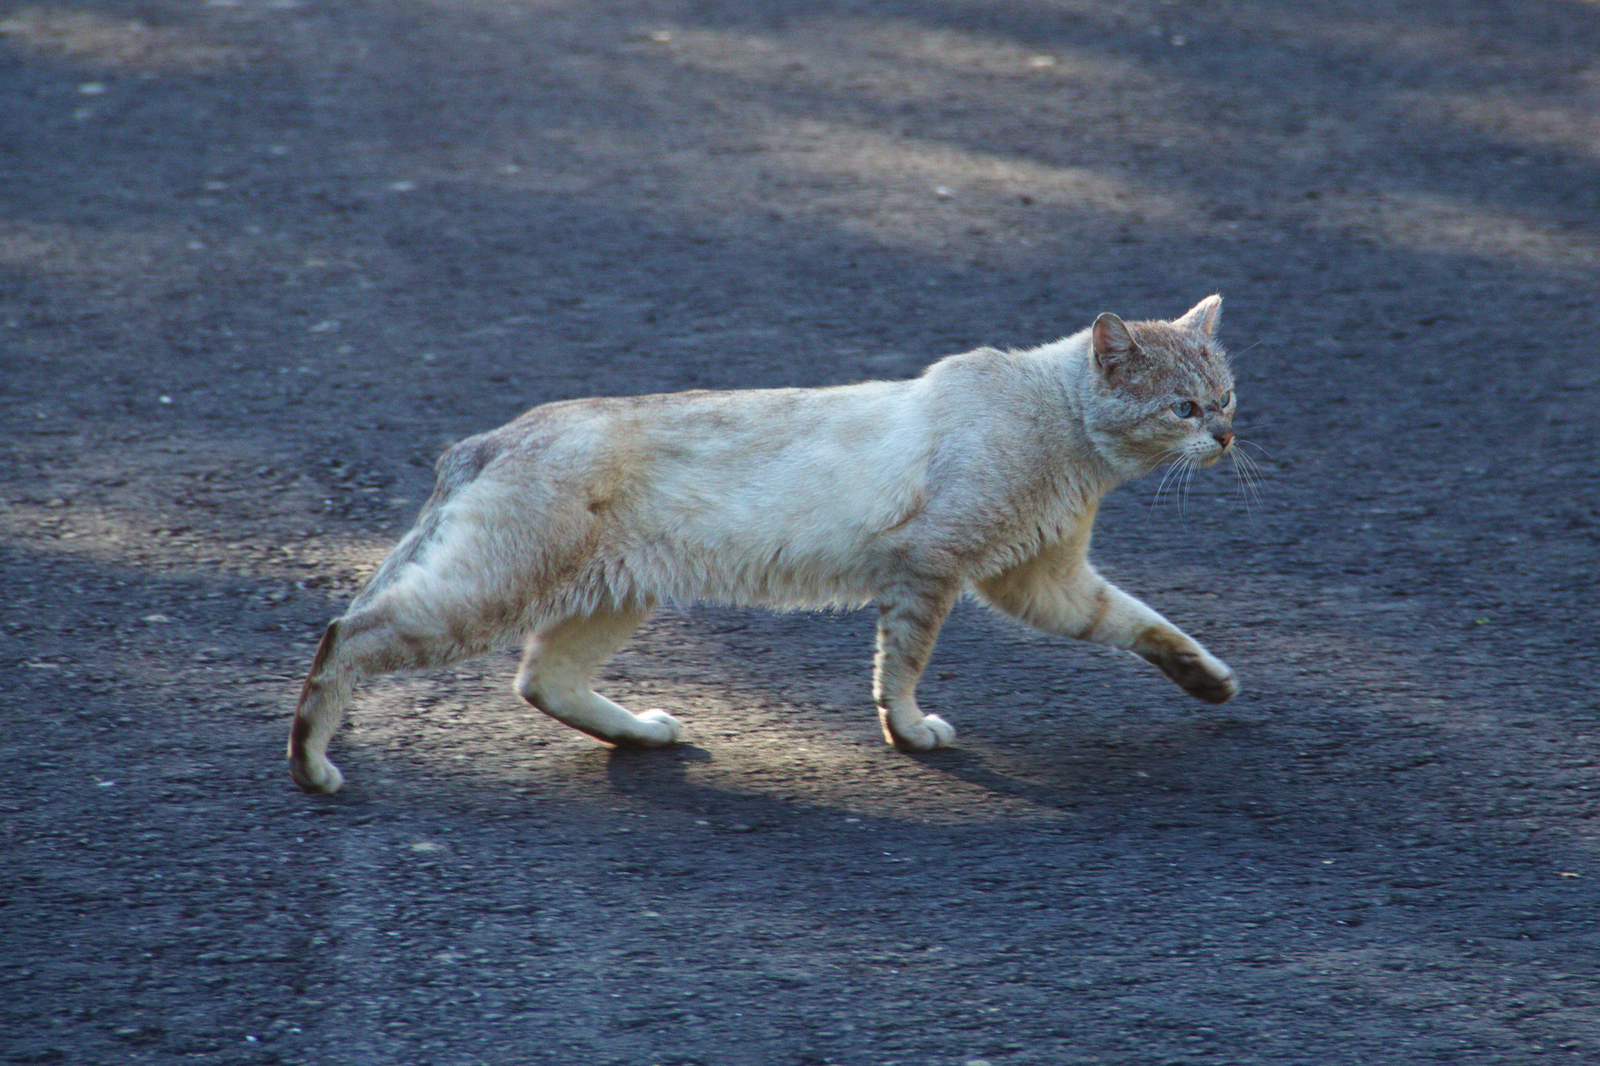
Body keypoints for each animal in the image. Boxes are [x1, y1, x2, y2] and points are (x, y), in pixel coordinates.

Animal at [284, 294, 1235, 793]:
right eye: (1182, 408)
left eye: (1227, 395)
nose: (1226, 437)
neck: (1063, 431)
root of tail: (493, 436)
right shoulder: (931, 569)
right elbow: (903, 667)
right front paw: (909, 731)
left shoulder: (1046, 580)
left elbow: (1143, 623)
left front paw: (1212, 682)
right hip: (490, 591)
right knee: (347, 634)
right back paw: (312, 762)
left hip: (615, 596)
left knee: (541, 678)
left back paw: (643, 734)